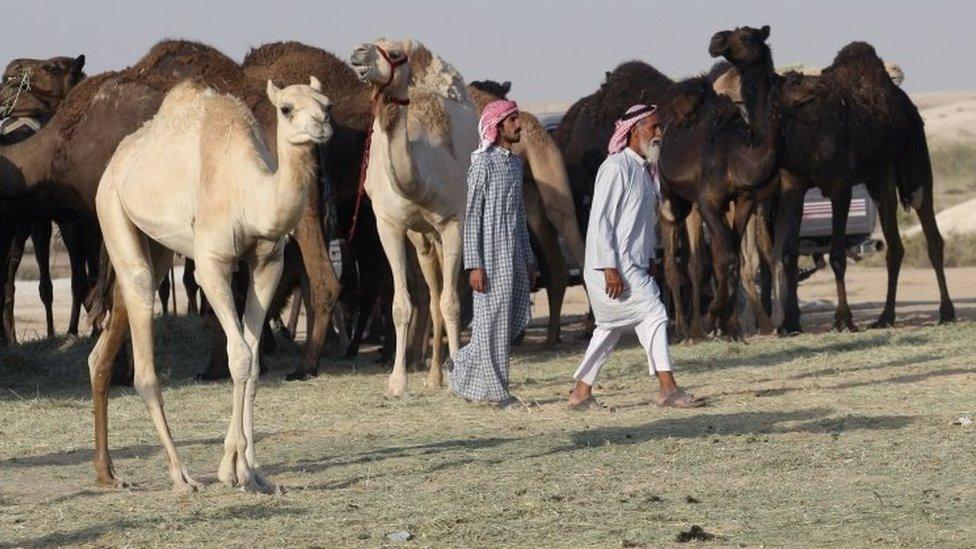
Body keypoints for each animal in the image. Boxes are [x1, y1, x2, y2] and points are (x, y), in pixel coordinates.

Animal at [88, 77, 332, 492]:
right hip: (110, 208)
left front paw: (255, 472)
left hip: (153, 244)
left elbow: (253, 361)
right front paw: (233, 470)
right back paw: (181, 475)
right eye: (286, 108)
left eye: (326, 103)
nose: (322, 125)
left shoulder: (268, 263)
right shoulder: (212, 265)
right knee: (143, 350)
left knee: (104, 342)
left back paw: (108, 474)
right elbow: (239, 357)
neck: (249, 193)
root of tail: (116, 161)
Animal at [348, 37, 478, 394]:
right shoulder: (390, 226)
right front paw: (397, 381)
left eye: (394, 54)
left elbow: (452, 302)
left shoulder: (453, 223)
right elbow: (401, 305)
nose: (357, 53)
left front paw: (458, 376)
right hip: (420, 237)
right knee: (431, 296)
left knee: (444, 295)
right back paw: (433, 376)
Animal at [772, 41, 952, 330]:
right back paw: (885, 316)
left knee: (931, 233)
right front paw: (789, 324)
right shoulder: (793, 187)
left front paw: (844, 319)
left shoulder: (840, 188)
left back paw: (946, 311)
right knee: (895, 245)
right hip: (880, 178)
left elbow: (837, 255)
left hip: (916, 163)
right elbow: (788, 253)